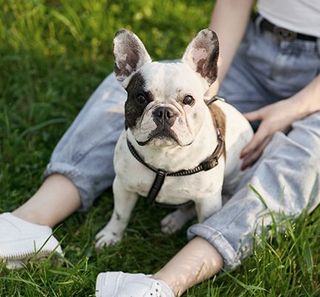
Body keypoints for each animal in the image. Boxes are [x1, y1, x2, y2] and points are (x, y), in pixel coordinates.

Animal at [94, 27, 252, 246]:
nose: (163, 112)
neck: (165, 155)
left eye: (188, 99)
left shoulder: (208, 201)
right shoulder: (123, 186)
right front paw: (111, 235)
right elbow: (120, 215)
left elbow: (202, 220)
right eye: (141, 98)